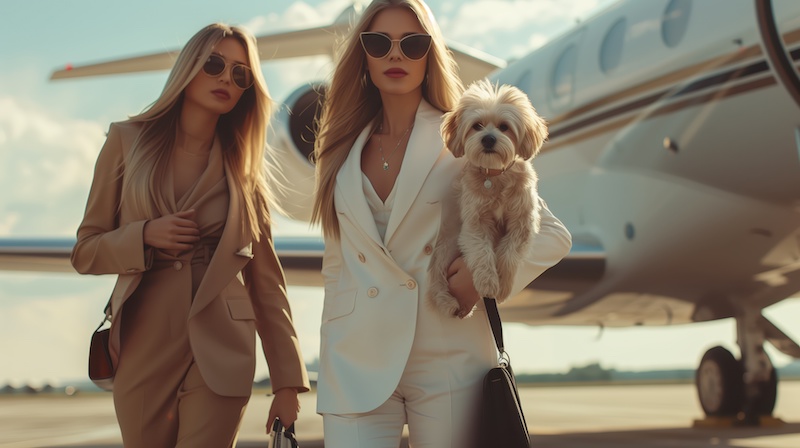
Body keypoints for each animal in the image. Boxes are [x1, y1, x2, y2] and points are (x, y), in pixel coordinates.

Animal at [428, 80, 548, 318]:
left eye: (504, 127)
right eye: (477, 125)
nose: (488, 139)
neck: (494, 176)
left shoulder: (522, 223)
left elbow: (509, 254)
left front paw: (504, 287)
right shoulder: (475, 225)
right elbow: (482, 253)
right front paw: (487, 283)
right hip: (448, 245)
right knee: (437, 276)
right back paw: (447, 301)